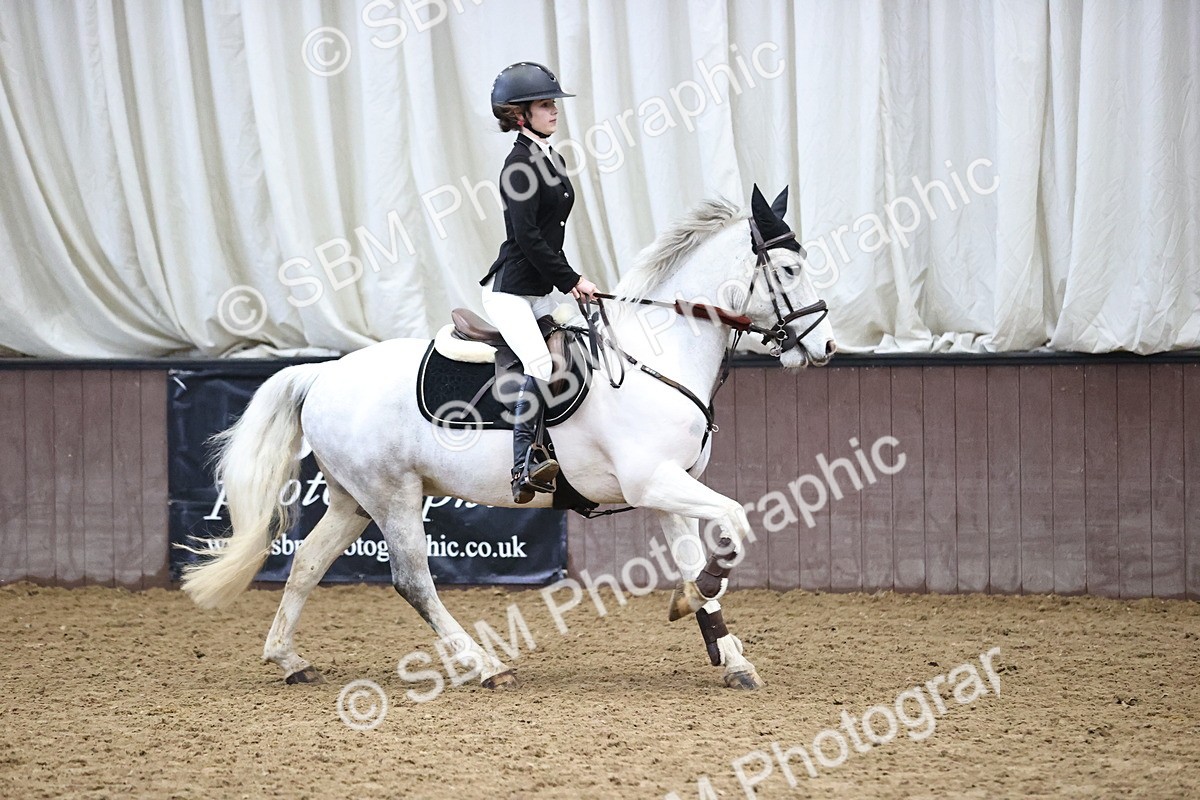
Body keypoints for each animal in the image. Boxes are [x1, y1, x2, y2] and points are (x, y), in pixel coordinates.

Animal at [180, 185, 837, 692]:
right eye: (789, 270)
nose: (826, 348)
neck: (657, 356)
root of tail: (322, 372)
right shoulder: (652, 481)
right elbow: (736, 524)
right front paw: (693, 610)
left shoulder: (668, 488)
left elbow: (699, 559)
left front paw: (729, 654)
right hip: (393, 496)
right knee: (412, 581)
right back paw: (483, 665)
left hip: (353, 498)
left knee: (308, 564)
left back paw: (289, 659)